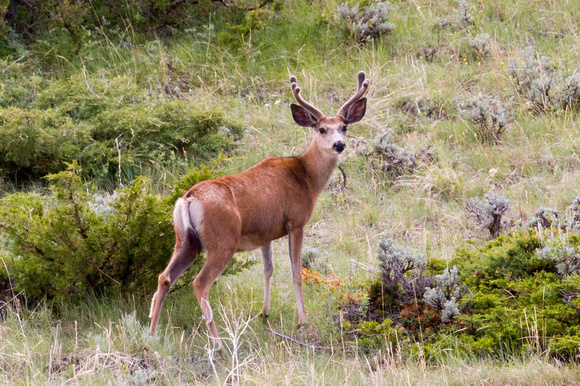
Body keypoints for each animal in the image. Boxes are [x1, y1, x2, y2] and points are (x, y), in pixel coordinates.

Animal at [148, 71, 368, 346]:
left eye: (344, 127)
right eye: (322, 129)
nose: (339, 144)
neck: (306, 177)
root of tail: (188, 198)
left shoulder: (266, 232)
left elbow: (268, 269)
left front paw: (264, 312)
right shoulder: (296, 222)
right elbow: (296, 273)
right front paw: (302, 320)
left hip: (186, 241)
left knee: (164, 277)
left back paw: (151, 334)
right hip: (223, 241)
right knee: (200, 283)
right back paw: (218, 342)